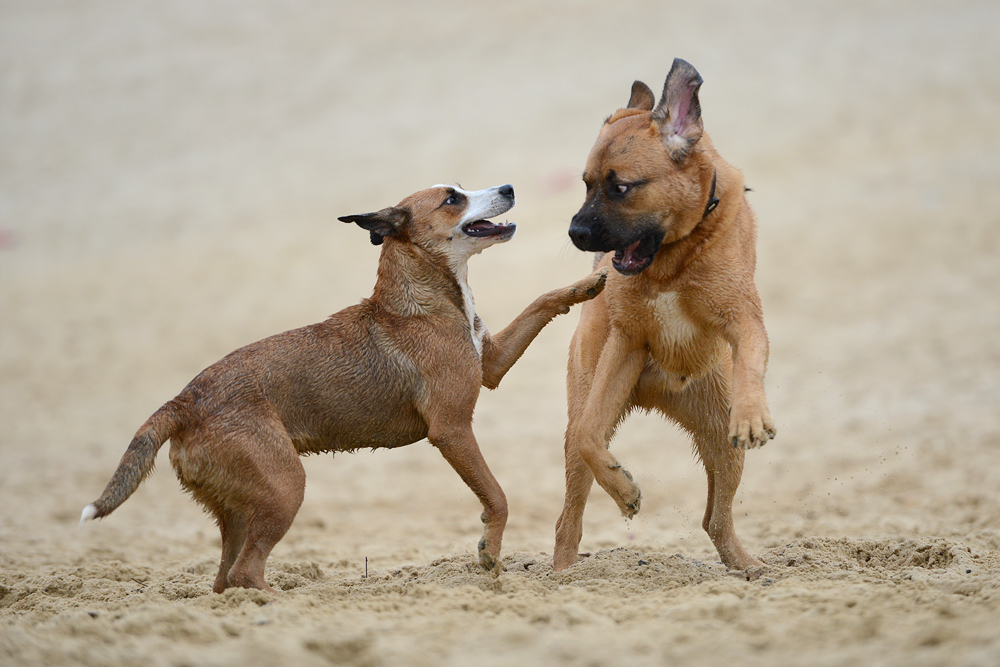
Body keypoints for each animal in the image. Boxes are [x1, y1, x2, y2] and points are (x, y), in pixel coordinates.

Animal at [80, 184, 608, 596]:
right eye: (452, 198)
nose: (509, 188)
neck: (424, 299)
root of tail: (183, 401)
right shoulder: (452, 429)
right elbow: (496, 497)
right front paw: (488, 554)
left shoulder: (492, 364)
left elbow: (541, 301)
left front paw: (588, 284)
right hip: (285, 486)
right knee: (247, 573)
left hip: (241, 506)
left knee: (225, 579)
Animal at [556, 58, 772, 576]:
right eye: (586, 184)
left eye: (620, 187)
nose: (575, 233)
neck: (671, 259)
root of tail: (661, 393)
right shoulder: (626, 344)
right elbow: (592, 435)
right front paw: (624, 491)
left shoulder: (744, 321)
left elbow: (750, 362)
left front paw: (752, 414)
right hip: (587, 410)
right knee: (569, 514)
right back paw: (563, 573)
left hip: (720, 440)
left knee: (715, 519)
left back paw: (745, 566)